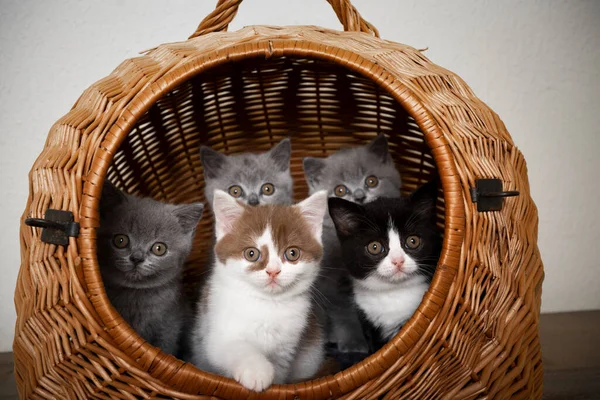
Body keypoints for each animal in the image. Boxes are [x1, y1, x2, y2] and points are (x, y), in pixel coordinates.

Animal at [96, 182, 204, 356]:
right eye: (120, 240)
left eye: (159, 248)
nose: (137, 258)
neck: (136, 295)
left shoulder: (169, 327)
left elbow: (165, 348)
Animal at [192, 190, 328, 390]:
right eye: (251, 253)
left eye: (292, 253)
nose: (273, 271)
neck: (267, 304)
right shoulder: (216, 335)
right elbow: (234, 346)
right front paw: (256, 370)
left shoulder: (285, 350)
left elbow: (279, 372)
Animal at [302, 135, 400, 356]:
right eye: (340, 190)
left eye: (372, 181)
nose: (359, 196)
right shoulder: (332, 284)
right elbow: (344, 313)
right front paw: (354, 343)